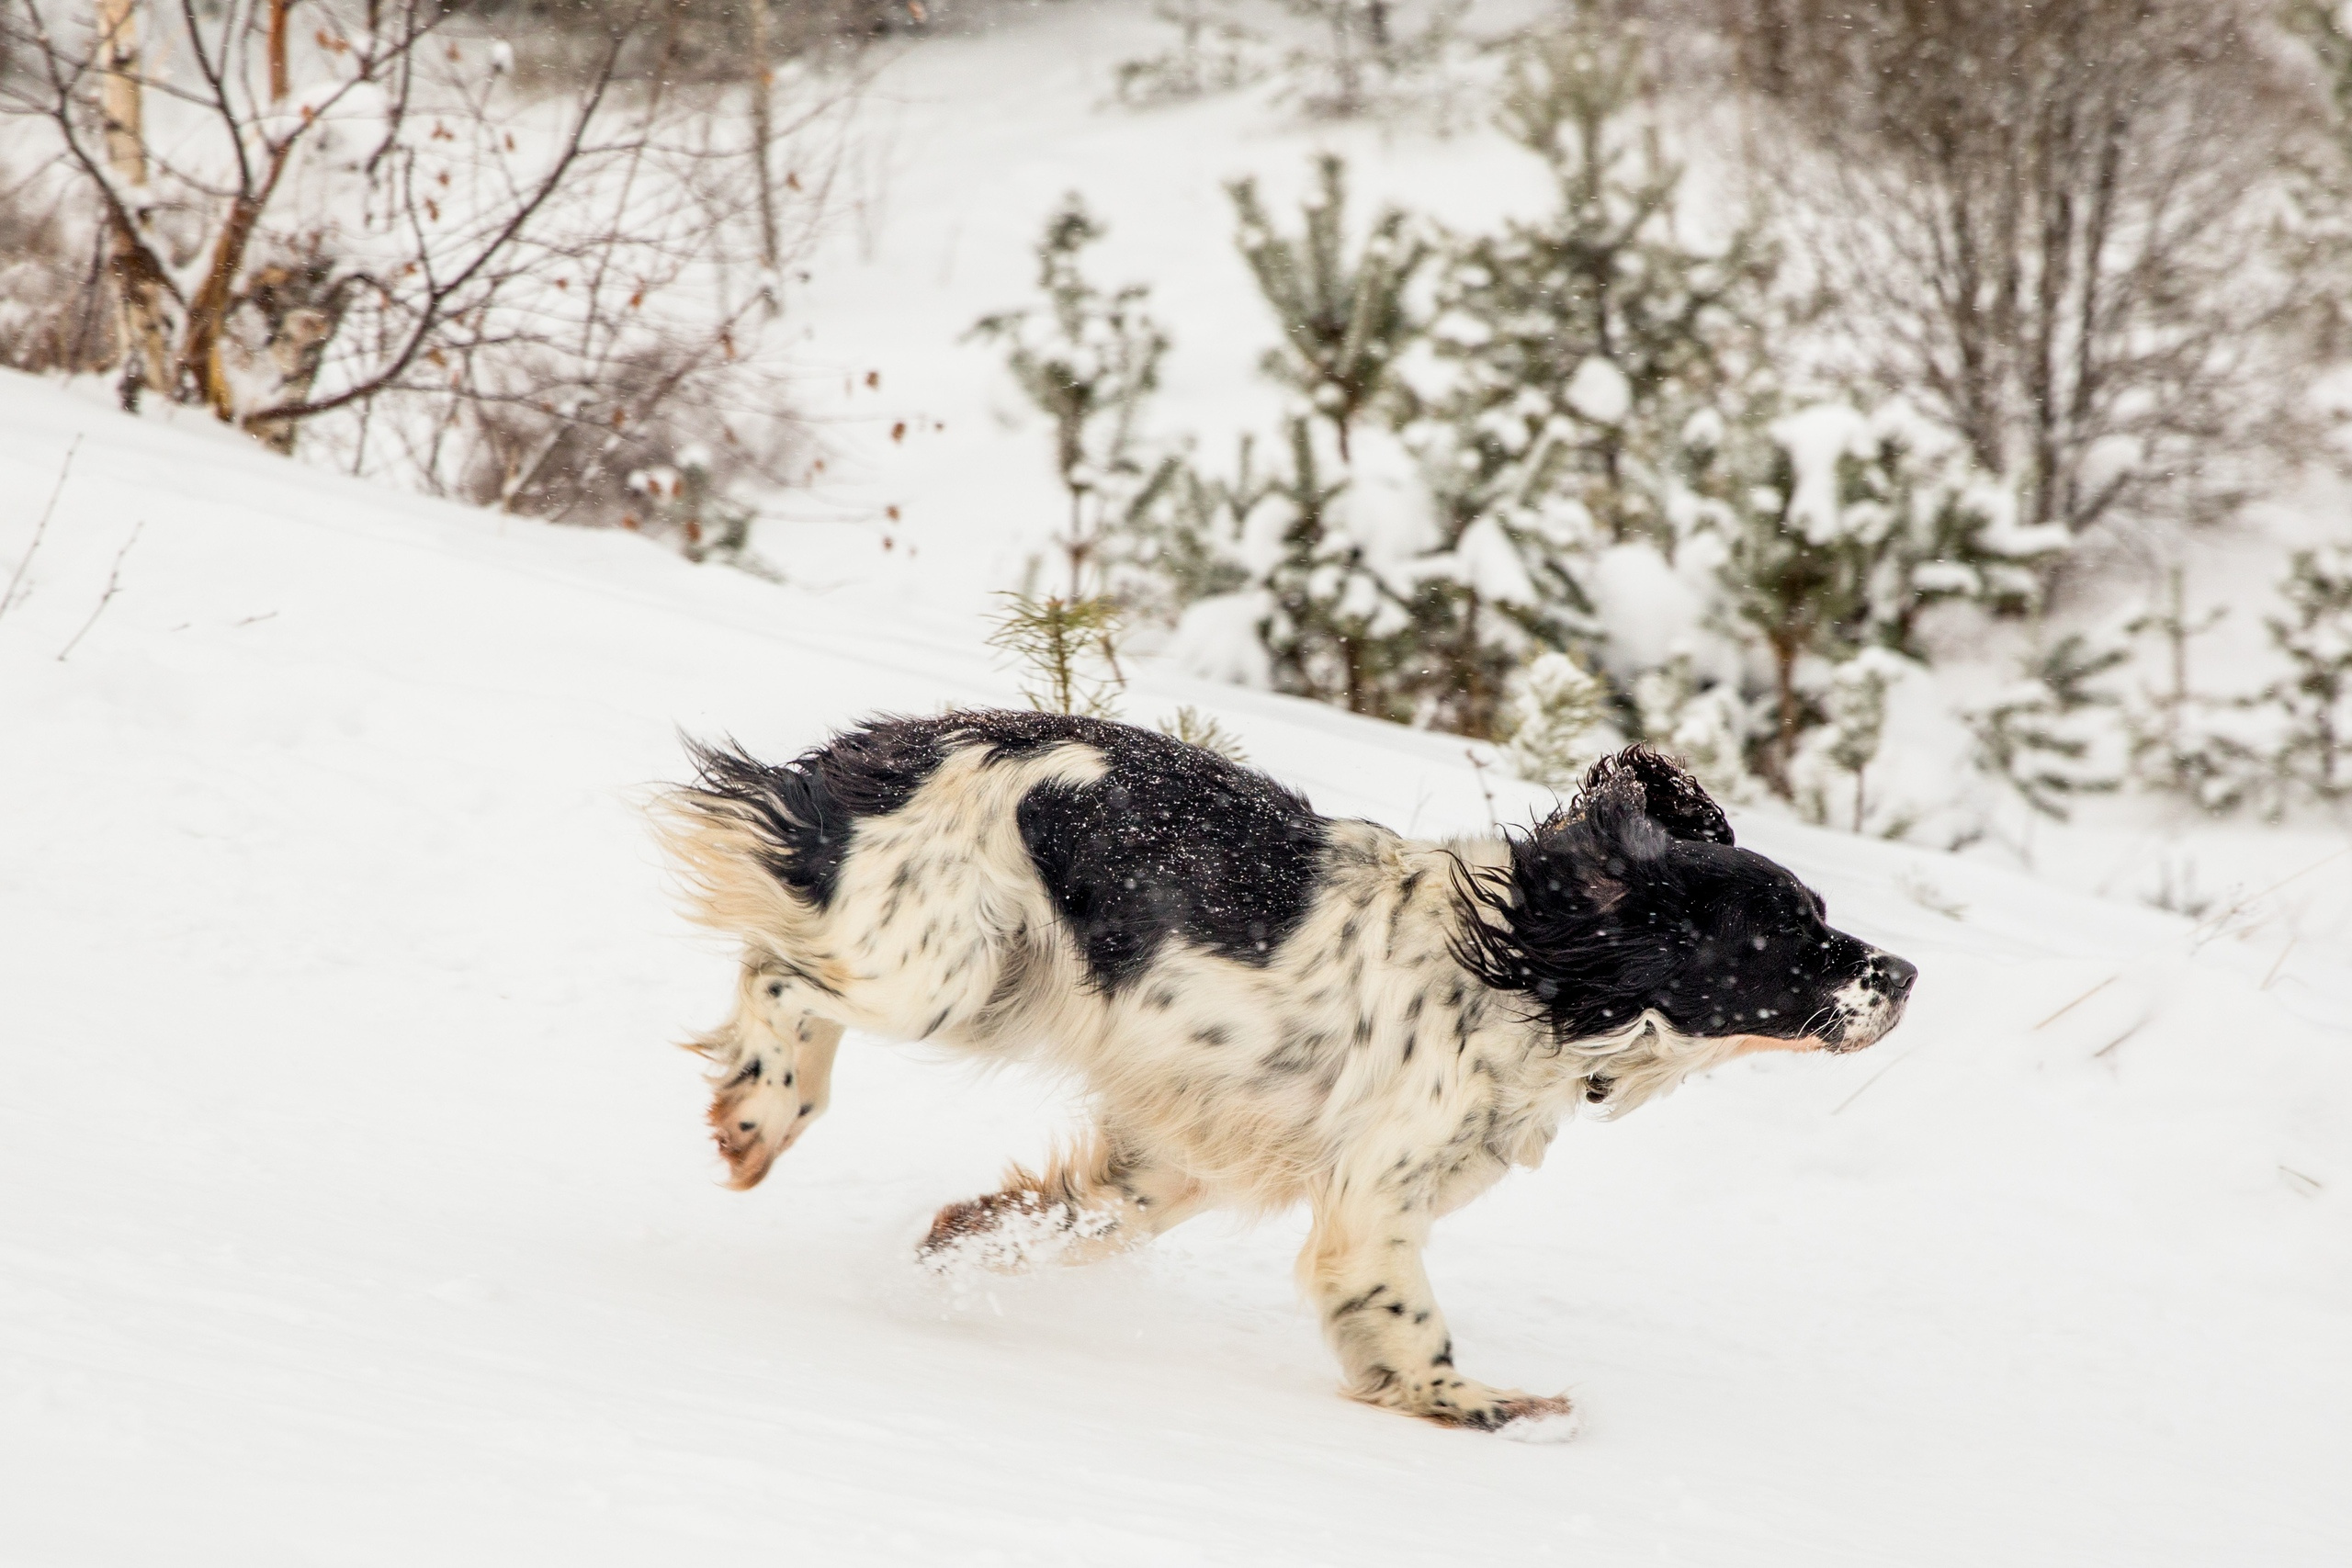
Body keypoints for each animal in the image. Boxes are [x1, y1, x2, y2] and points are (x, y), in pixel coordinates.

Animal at [658, 709, 1909, 1438]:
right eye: (1792, 934)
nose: (1904, 973)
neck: (1533, 977)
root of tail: (901, 744)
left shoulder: (1179, 1160)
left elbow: (1069, 1216)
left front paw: (958, 1248)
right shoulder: (1376, 1192)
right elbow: (1405, 1316)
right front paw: (1484, 1404)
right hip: (942, 973)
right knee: (780, 976)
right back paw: (760, 1114)